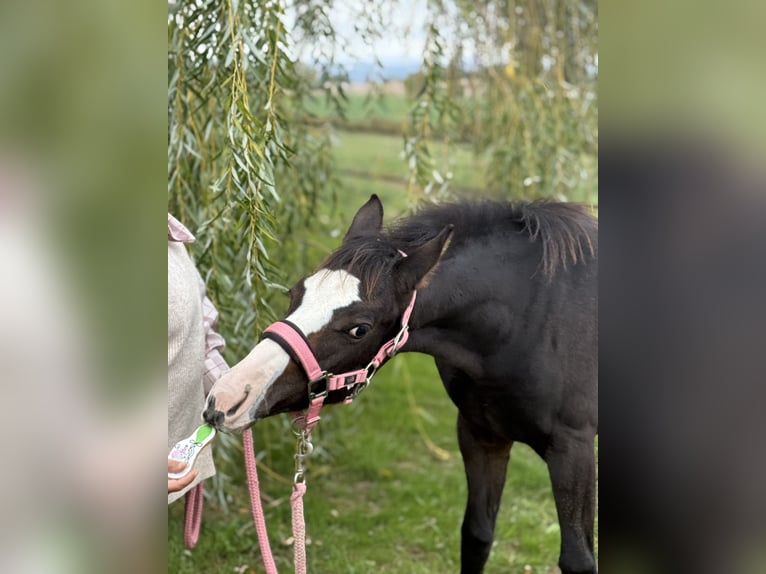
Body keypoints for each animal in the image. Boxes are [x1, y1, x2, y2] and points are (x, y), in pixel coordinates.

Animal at [204, 195, 598, 574]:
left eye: (359, 329)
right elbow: (476, 536)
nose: (227, 398)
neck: (530, 319)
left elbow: (578, 559)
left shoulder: (572, 450)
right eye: (294, 292)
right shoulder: (481, 434)